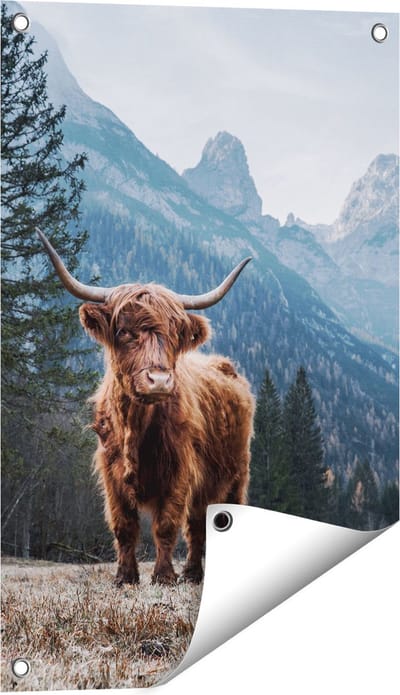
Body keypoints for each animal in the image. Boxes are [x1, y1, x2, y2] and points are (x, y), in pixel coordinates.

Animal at [37, 228, 254, 586]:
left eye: (175, 334)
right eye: (125, 331)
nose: (159, 381)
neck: (135, 427)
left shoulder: (180, 470)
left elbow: (166, 525)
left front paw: (163, 576)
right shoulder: (111, 474)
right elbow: (124, 526)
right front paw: (125, 577)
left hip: (236, 473)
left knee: (206, 521)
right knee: (198, 523)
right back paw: (192, 574)